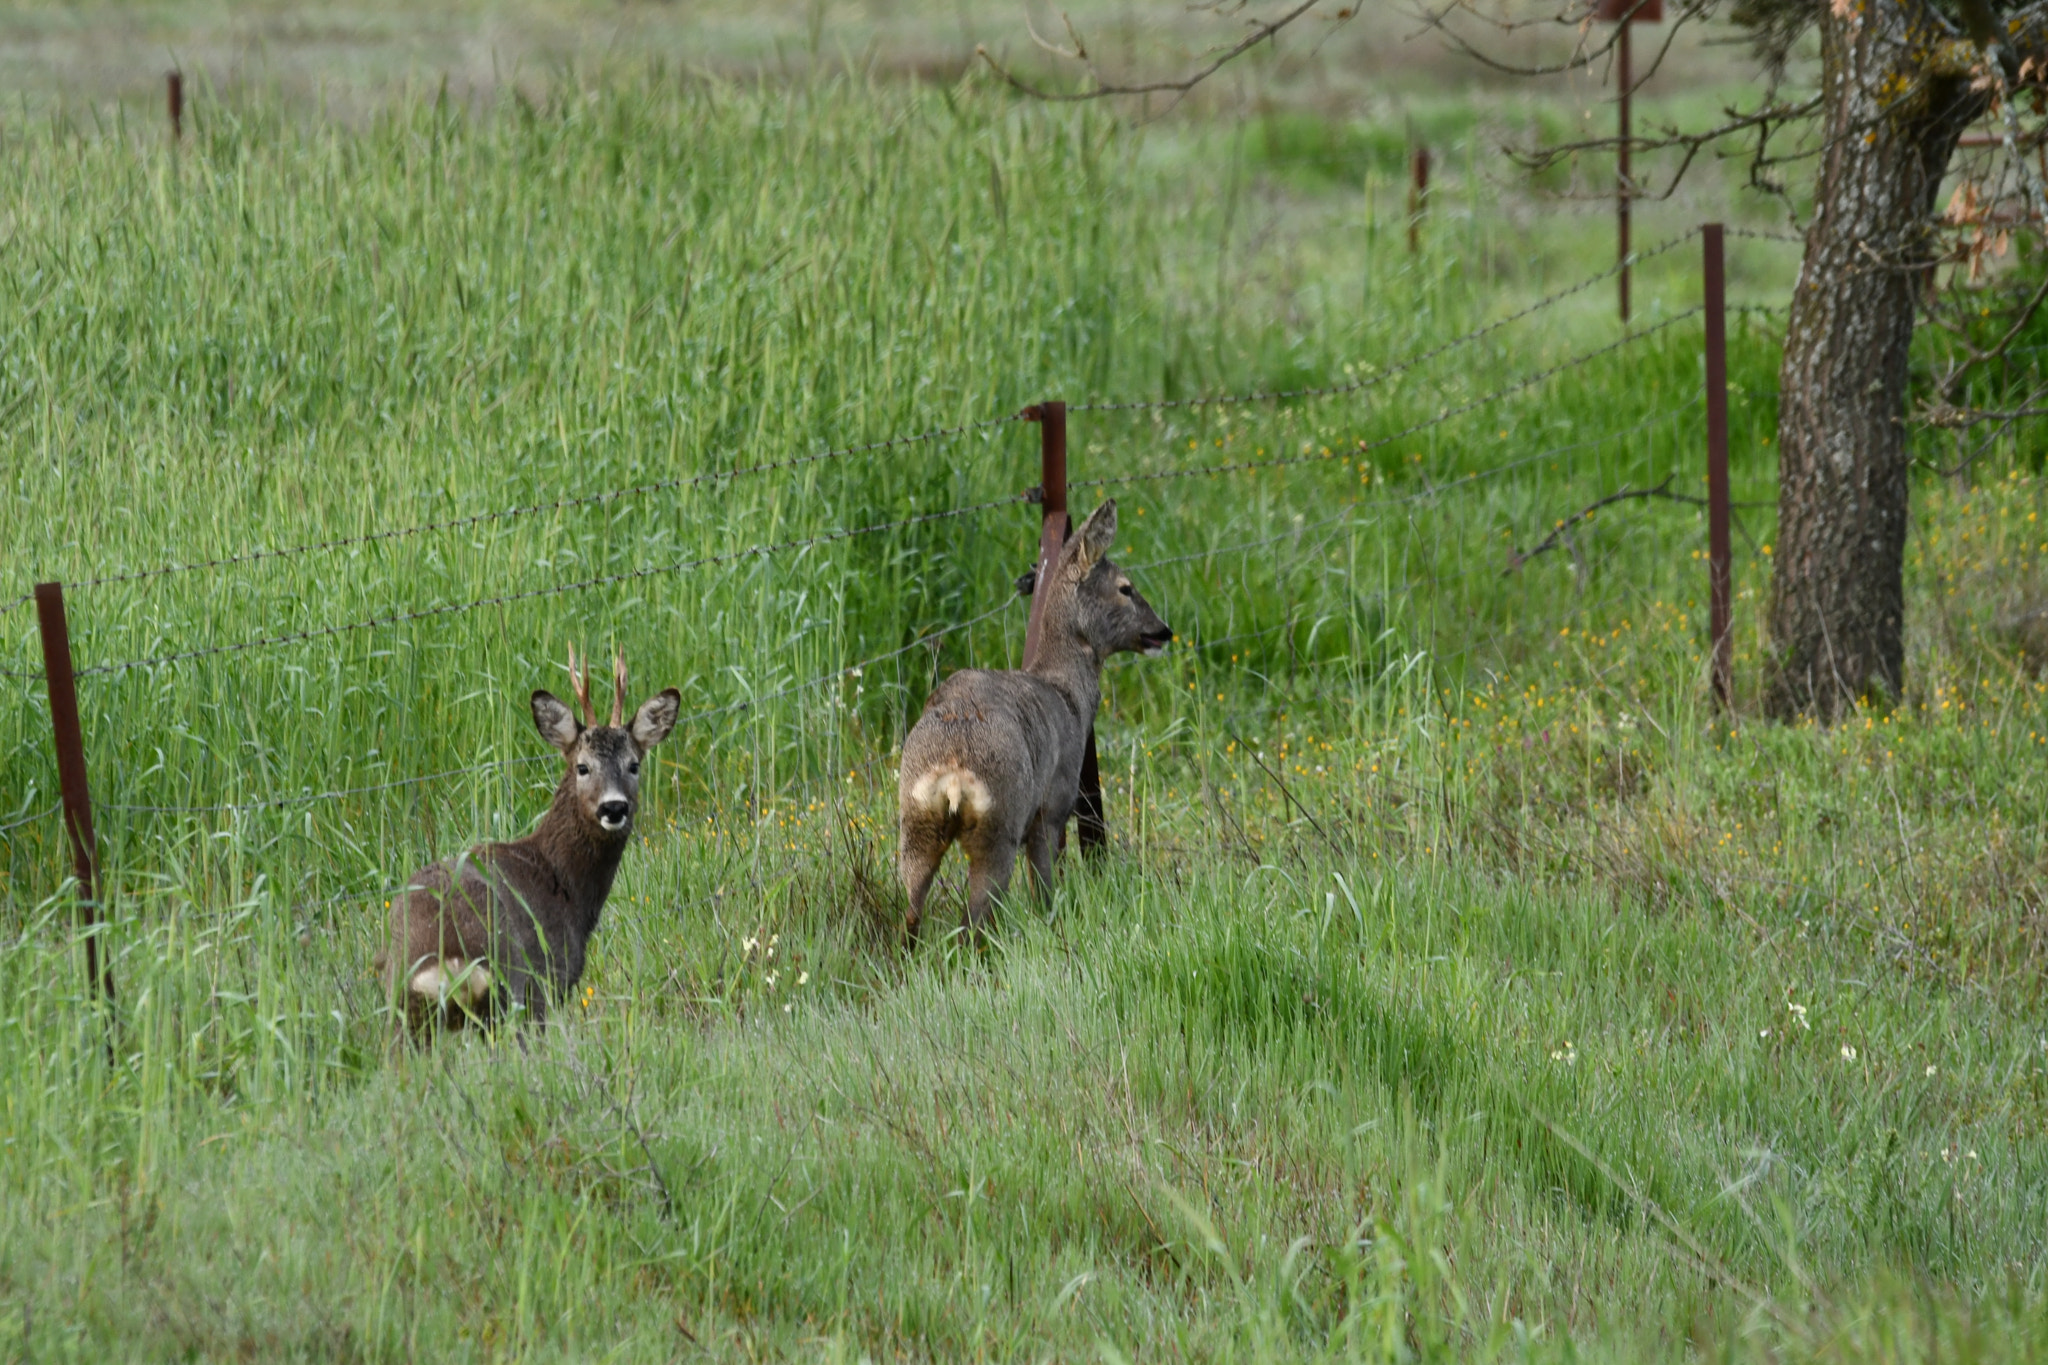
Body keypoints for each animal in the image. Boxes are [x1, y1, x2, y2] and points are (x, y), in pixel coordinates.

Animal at [374, 646, 679, 1039]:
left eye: (634, 765)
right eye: (582, 767)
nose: (613, 807)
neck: (563, 881)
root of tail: (445, 956)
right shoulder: (550, 979)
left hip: (400, 1003)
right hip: (510, 988)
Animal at [897, 499, 1171, 941]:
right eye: (1126, 588)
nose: (1163, 631)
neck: (1067, 694)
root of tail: (953, 771)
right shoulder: (1054, 805)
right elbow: (1044, 888)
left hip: (915, 821)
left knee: (911, 911)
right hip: (1001, 823)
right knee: (975, 917)